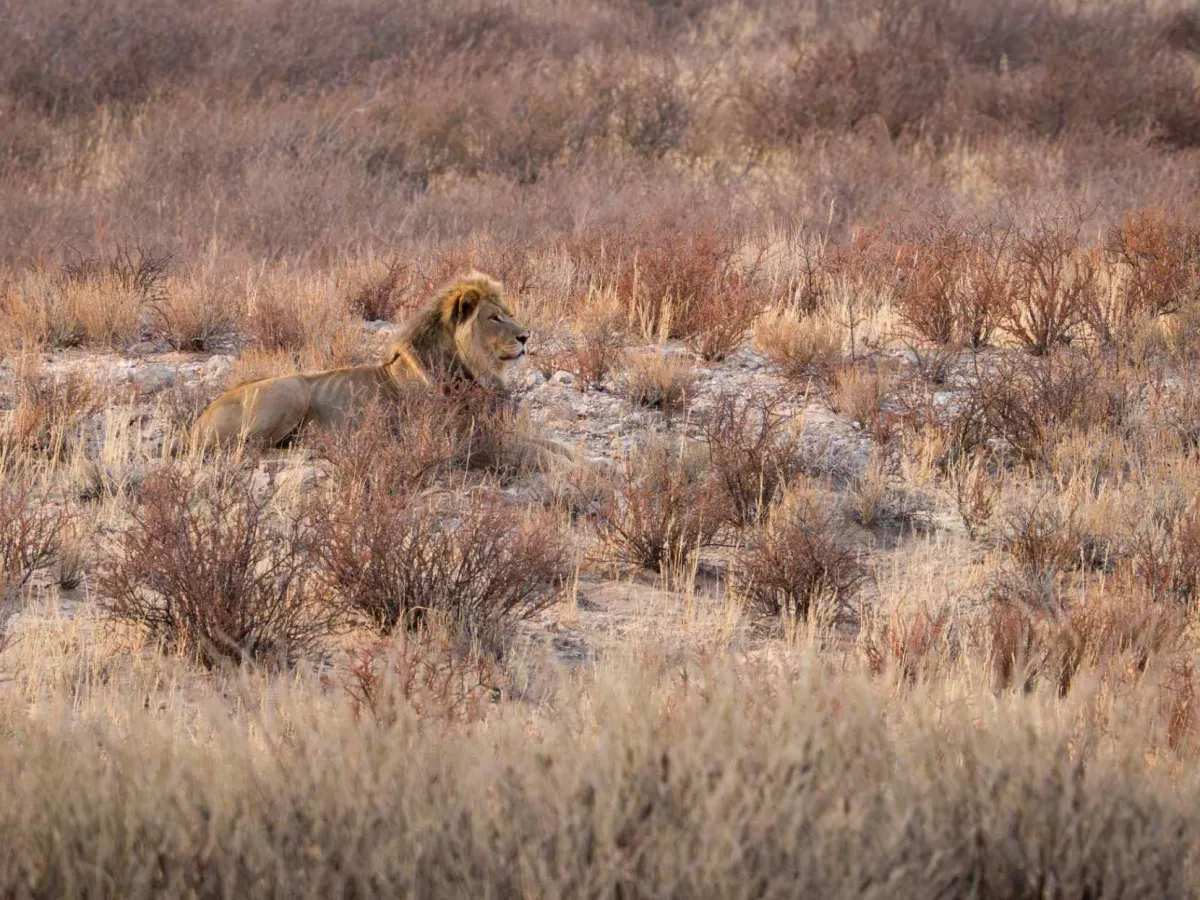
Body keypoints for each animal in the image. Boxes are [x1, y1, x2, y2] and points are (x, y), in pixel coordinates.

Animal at [190, 272, 577, 471]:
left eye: (508, 313)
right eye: (494, 318)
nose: (526, 336)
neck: (473, 370)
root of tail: (199, 420)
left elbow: (556, 446)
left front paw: (588, 462)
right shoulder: (466, 442)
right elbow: (540, 453)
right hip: (291, 390)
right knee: (248, 449)